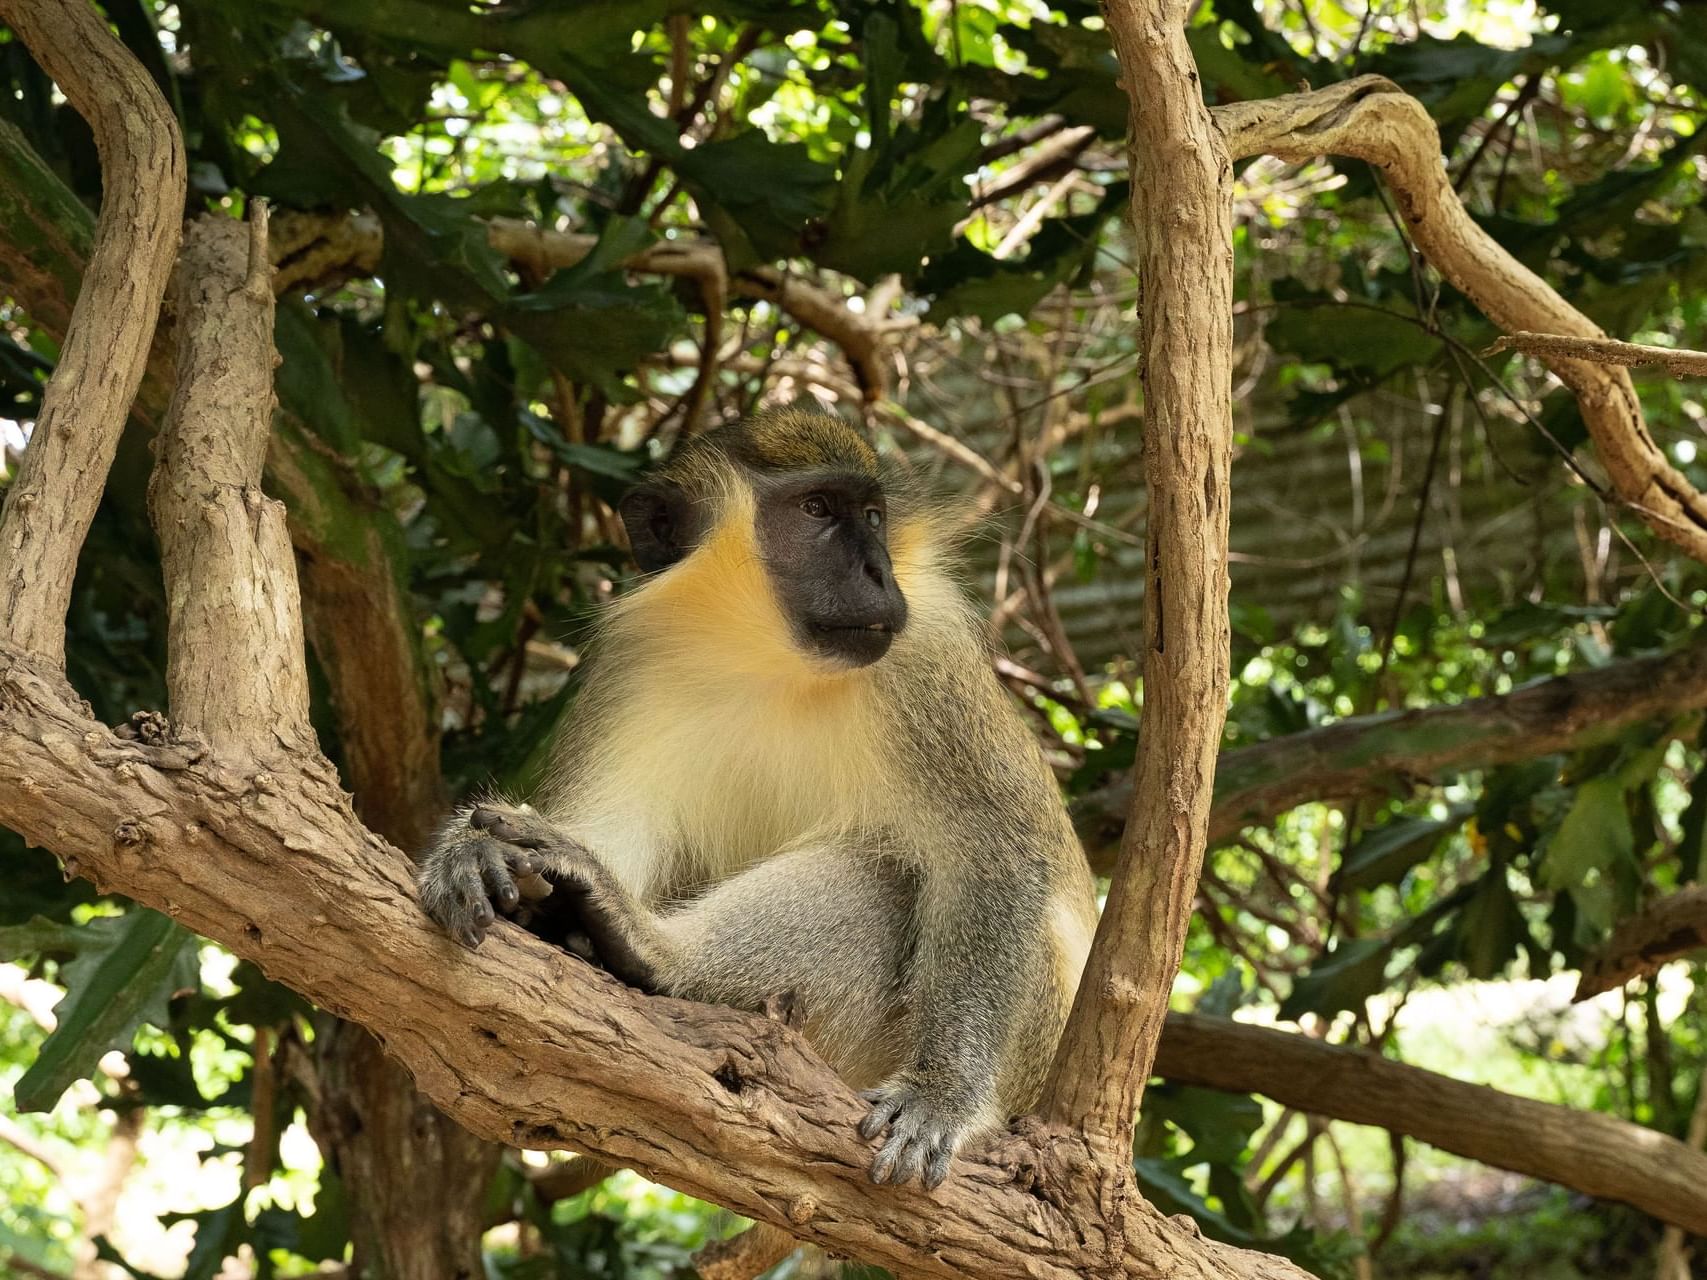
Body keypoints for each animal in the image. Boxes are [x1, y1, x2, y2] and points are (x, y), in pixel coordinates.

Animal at [419, 411, 1099, 1194]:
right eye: (817, 510)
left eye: (873, 515)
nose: (878, 573)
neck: (767, 656)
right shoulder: (631, 667)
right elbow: (607, 831)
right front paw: (478, 847)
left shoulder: (928, 664)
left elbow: (994, 855)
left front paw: (940, 1095)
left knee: (887, 875)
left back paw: (655, 952)